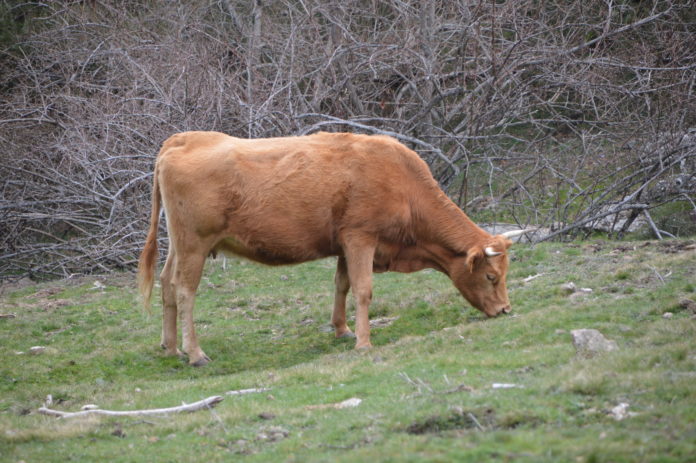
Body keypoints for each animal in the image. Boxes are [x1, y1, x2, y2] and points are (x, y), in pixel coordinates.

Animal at [137, 131, 530, 366]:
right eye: (492, 276)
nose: (506, 310)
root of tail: (183, 139)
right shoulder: (361, 237)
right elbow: (363, 289)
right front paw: (364, 342)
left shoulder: (344, 243)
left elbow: (342, 284)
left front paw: (342, 330)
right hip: (195, 244)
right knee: (185, 291)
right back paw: (195, 352)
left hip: (180, 246)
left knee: (166, 284)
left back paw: (170, 347)